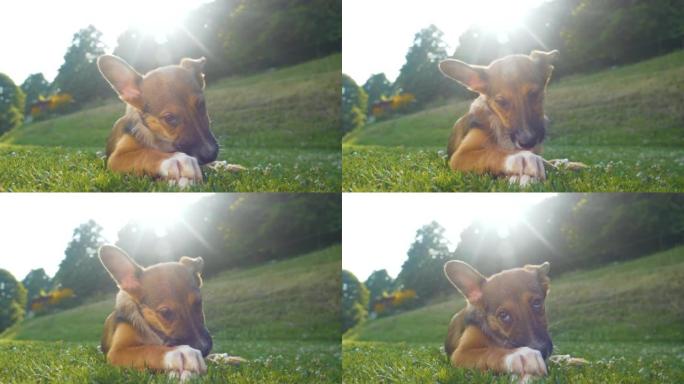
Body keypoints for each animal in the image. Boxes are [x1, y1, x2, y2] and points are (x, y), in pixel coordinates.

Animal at [96, 54, 218, 187]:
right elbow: (144, 153)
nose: (211, 155)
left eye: (201, 105)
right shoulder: (115, 158)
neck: (160, 139)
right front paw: (175, 159)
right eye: (169, 118)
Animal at [98, 244, 211, 380]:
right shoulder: (117, 352)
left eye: (198, 303)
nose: (204, 349)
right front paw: (179, 352)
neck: (153, 331)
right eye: (165, 312)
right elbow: (147, 350)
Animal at [438, 50, 560, 186]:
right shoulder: (459, 157)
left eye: (534, 94)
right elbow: (490, 153)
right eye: (501, 102)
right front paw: (521, 158)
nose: (528, 142)